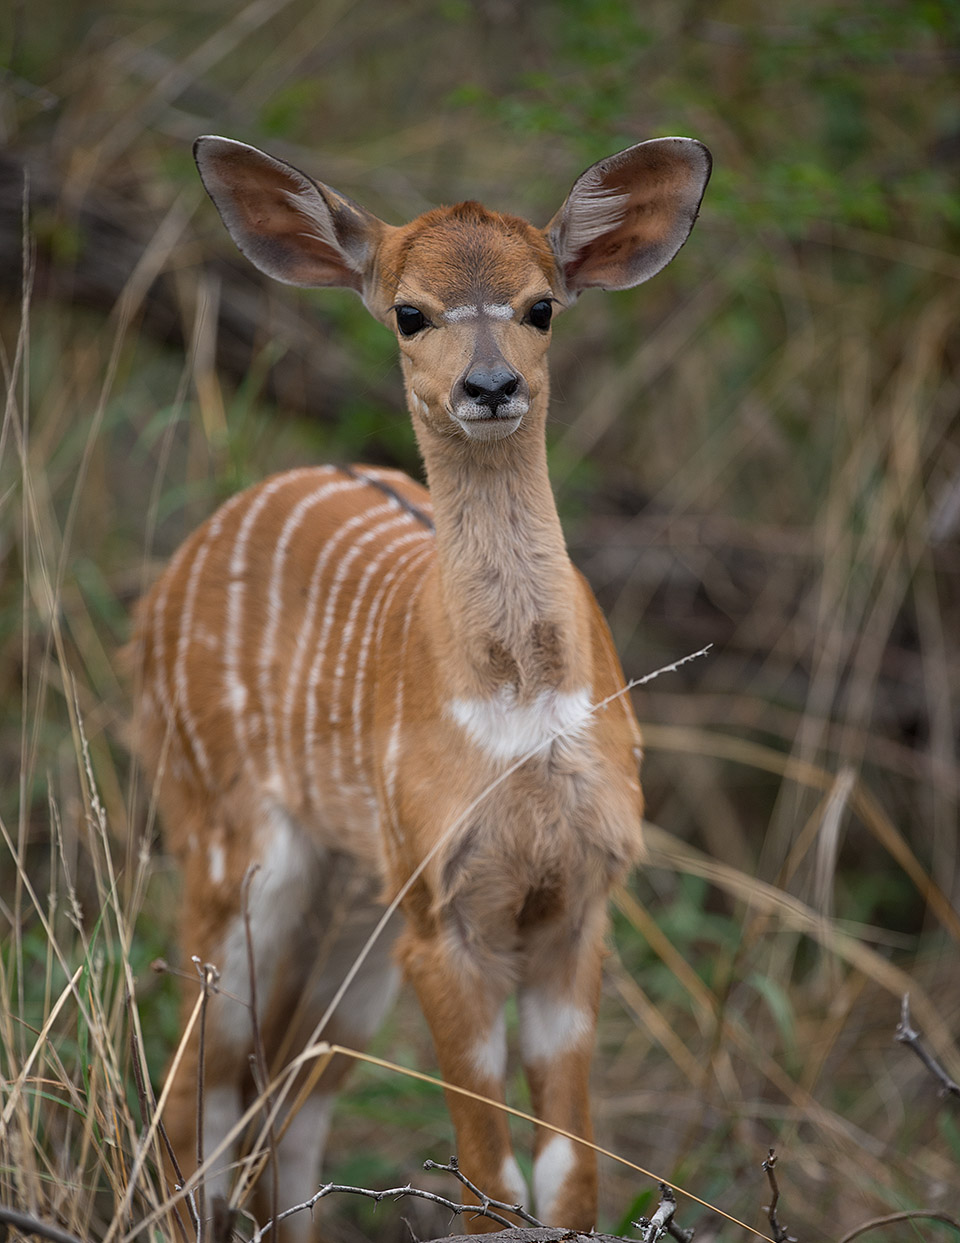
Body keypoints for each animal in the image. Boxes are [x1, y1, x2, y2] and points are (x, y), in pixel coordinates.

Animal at [131, 131, 706, 1238]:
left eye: (541, 305)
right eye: (410, 312)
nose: (489, 386)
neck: (521, 704)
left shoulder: (576, 905)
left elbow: (569, 1178)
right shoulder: (449, 919)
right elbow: (492, 1184)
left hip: (358, 901)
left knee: (285, 1103)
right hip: (232, 848)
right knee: (196, 1093)